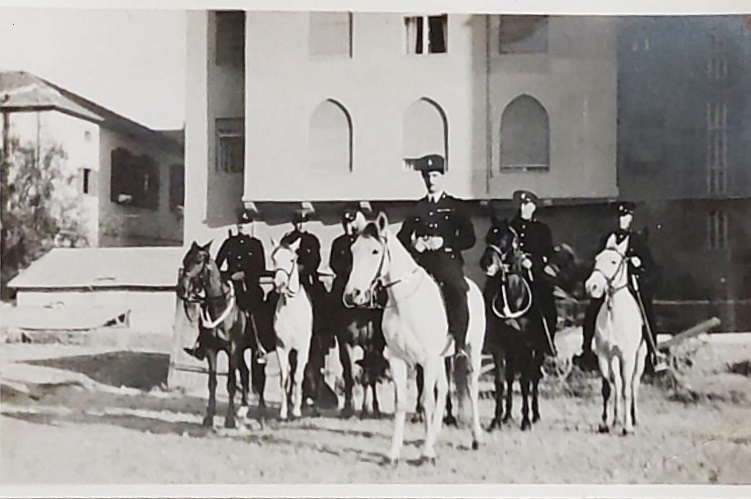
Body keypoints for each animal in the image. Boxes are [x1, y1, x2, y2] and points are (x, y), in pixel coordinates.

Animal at [344, 211, 484, 464]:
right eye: (353, 250)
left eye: (375, 251)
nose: (352, 294)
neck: (405, 301)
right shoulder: (398, 359)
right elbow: (402, 403)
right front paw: (394, 453)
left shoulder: (426, 360)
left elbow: (427, 400)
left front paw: (427, 453)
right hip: (442, 358)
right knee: (444, 389)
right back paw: (435, 434)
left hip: (471, 351)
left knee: (471, 386)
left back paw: (476, 437)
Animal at [584, 236, 648, 436]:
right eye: (597, 259)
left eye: (613, 262)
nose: (591, 287)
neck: (614, 315)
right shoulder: (604, 355)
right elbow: (607, 388)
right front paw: (604, 423)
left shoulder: (627, 357)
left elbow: (627, 390)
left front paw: (627, 427)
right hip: (614, 359)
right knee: (617, 384)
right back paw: (615, 419)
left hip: (639, 358)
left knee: (633, 385)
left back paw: (633, 418)